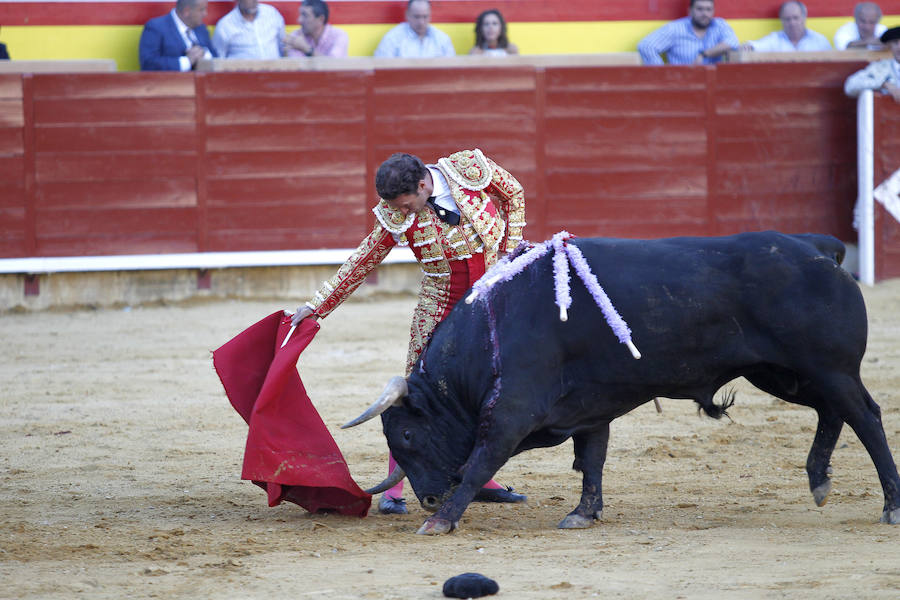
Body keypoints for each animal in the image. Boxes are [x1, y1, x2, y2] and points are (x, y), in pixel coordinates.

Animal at [346, 231, 900, 536]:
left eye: (408, 435)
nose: (428, 499)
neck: (494, 329)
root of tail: (817, 247)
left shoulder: (511, 412)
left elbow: (483, 459)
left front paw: (440, 522)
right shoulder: (589, 408)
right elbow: (592, 460)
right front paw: (583, 514)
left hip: (828, 368)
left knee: (866, 418)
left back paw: (891, 505)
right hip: (784, 373)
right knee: (834, 412)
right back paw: (819, 480)